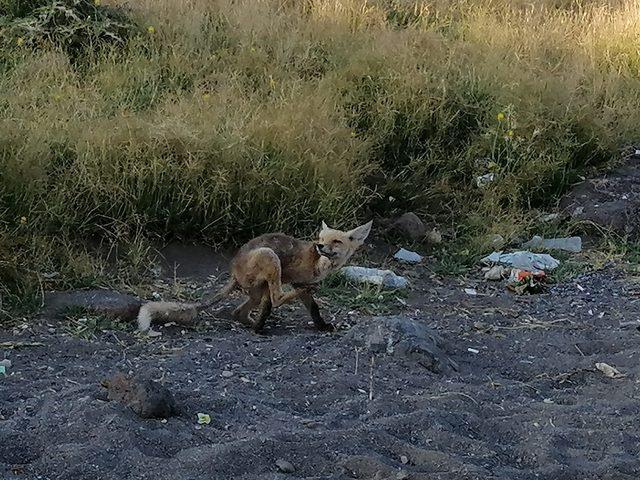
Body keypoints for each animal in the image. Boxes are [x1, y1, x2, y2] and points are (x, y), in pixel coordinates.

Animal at [138, 218, 372, 334]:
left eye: (336, 241)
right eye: (321, 238)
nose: (320, 246)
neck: (318, 264)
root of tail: (234, 270)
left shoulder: (298, 282)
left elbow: (313, 309)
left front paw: (322, 326)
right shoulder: (287, 279)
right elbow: (272, 303)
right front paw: (260, 328)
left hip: (256, 291)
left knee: (238, 312)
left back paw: (250, 322)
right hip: (270, 259)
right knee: (276, 298)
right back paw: (258, 324)